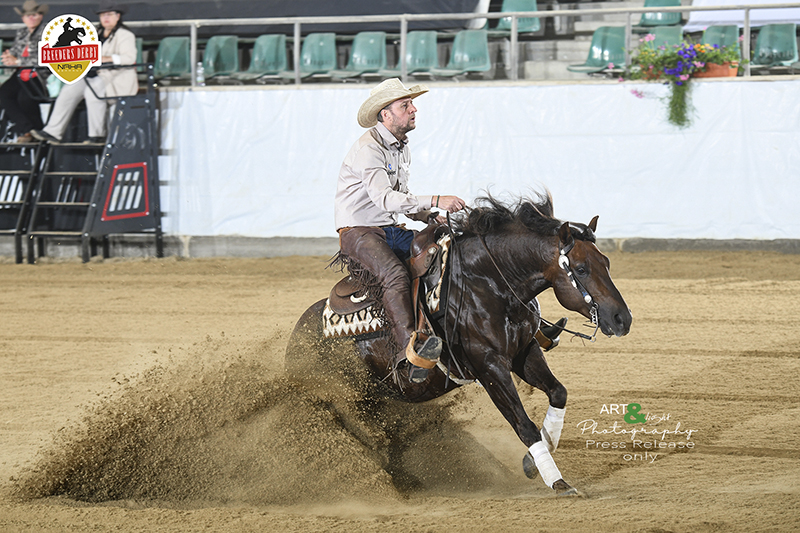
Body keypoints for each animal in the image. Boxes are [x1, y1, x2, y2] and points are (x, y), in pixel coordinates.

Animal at [286, 193, 632, 496]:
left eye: (607, 262)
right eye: (581, 269)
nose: (622, 319)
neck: (488, 283)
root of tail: (296, 338)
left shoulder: (524, 352)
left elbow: (558, 393)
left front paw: (532, 462)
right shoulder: (489, 366)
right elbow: (523, 424)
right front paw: (557, 482)